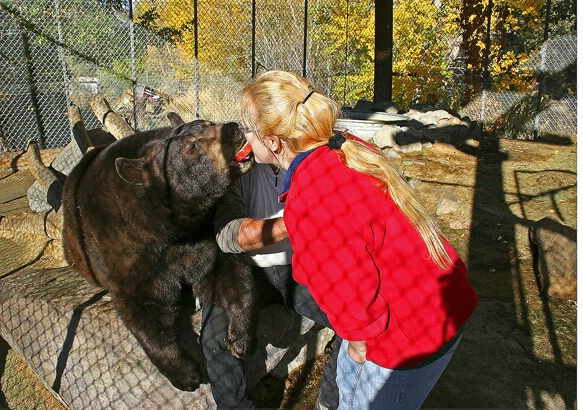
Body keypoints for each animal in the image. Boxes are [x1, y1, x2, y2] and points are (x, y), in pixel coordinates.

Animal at [61, 116, 258, 390]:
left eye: (209, 122)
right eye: (191, 147)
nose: (232, 129)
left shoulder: (205, 229)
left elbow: (228, 272)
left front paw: (240, 339)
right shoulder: (127, 248)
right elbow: (144, 305)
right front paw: (187, 374)